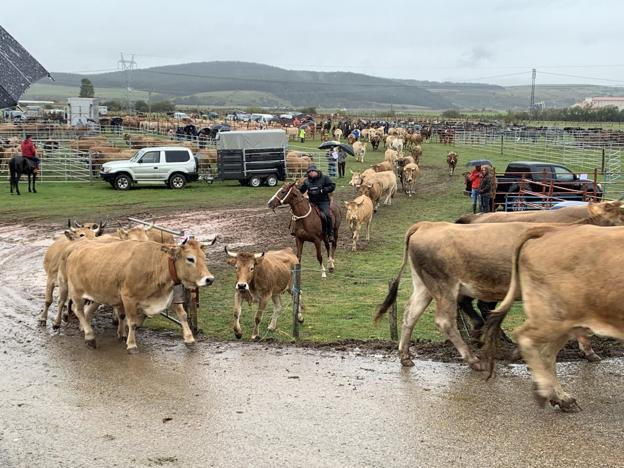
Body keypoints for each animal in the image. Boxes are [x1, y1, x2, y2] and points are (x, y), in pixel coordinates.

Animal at [63, 241, 214, 352]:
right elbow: (132, 322)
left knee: (87, 312)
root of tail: (75, 250)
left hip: (98, 294)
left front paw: (189, 339)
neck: (153, 265)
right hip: (76, 292)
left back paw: (85, 330)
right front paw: (131, 344)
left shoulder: (169, 295)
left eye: (204, 257)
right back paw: (90, 337)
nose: (210, 279)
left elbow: (182, 315)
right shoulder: (128, 298)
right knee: (78, 311)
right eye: (190, 259)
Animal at [376, 204, 624, 370]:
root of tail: (426, 225)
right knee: (446, 321)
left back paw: (405, 356)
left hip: (425, 286)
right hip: (444, 286)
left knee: (410, 314)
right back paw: (473, 359)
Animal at [486, 225, 624, 412]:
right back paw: (545, 390)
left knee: (546, 354)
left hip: (566, 323)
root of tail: (554, 229)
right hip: (552, 318)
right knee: (525, 337)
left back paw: (561, 398)